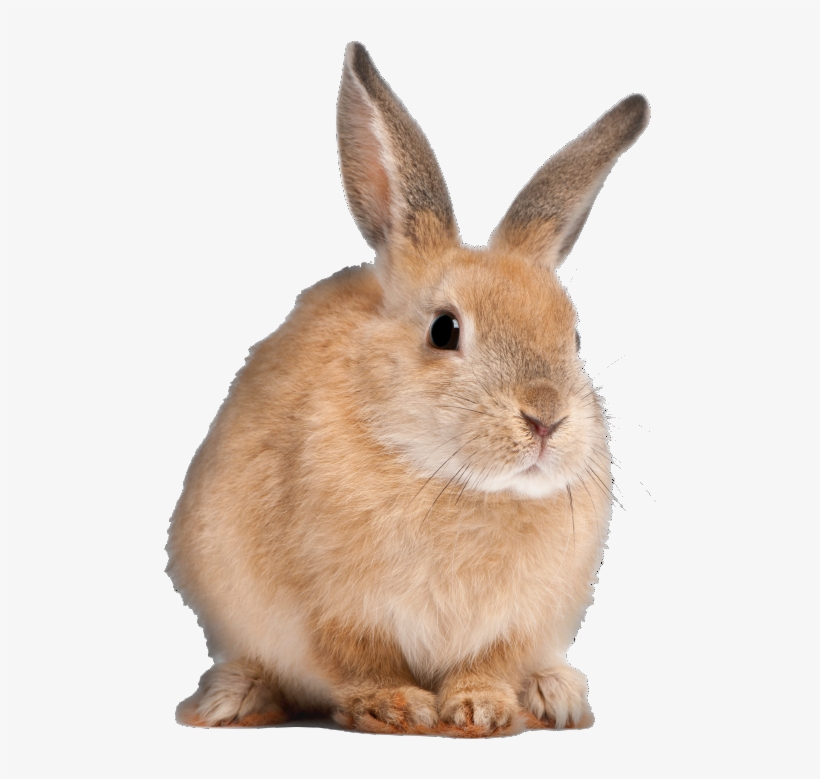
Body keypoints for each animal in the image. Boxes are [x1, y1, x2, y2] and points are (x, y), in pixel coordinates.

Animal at [166, 41, 649, 737]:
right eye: (445, 330)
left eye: (575, 337)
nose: (545, 419)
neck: (453, 481)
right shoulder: (333, 613)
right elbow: (360, 662)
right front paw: (395, 706)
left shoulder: (515, 625)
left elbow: (488, 665)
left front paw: (482, 710)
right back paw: (230, 700)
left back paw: (556, 695)